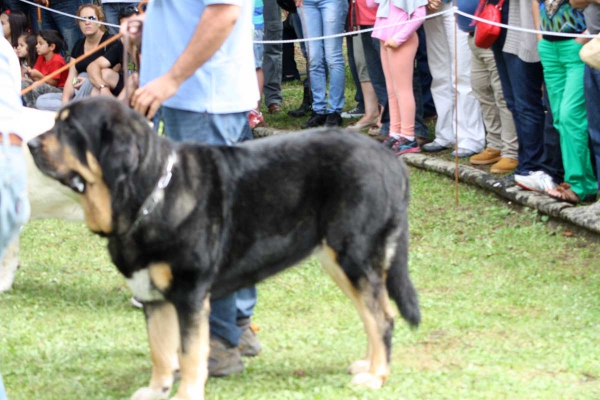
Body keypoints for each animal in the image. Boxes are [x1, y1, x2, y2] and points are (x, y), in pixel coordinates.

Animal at [28, 97, 420, 400]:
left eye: (71, 129)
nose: (30, 144)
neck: (149, 195)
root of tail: (390, 161)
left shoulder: (189, 295)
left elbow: (189, 353)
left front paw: (185, 394)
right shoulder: (154, 296)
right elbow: (160, 351)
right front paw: (156, 390)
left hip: (353, 255)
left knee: (382, 317)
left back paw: (376, 376)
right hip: (339, 261)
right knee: (372, 315)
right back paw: (368, 364)